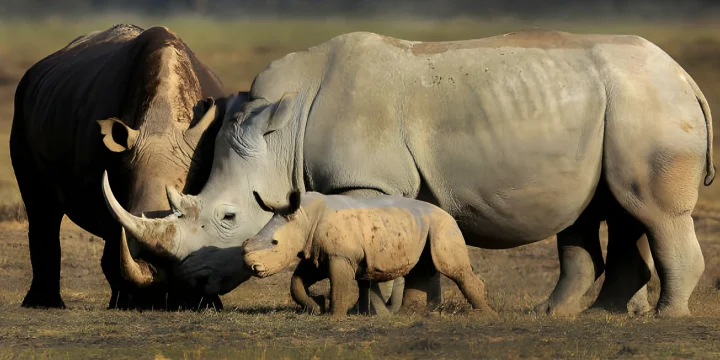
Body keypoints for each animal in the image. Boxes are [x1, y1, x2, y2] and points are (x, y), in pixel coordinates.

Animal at [242, 190, 496, 316]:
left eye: (275, 243)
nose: (252, 267)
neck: (304, 216)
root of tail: (449, 213)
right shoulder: (315, 252)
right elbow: (296, 282)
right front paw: (317, 306)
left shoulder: (340, 254)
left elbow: (339, 284)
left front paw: (335, 316)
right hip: (421, 225)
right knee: (420, 267)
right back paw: (406, 315)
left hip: (443, 226)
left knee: (453, 269)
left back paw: (486, 315)